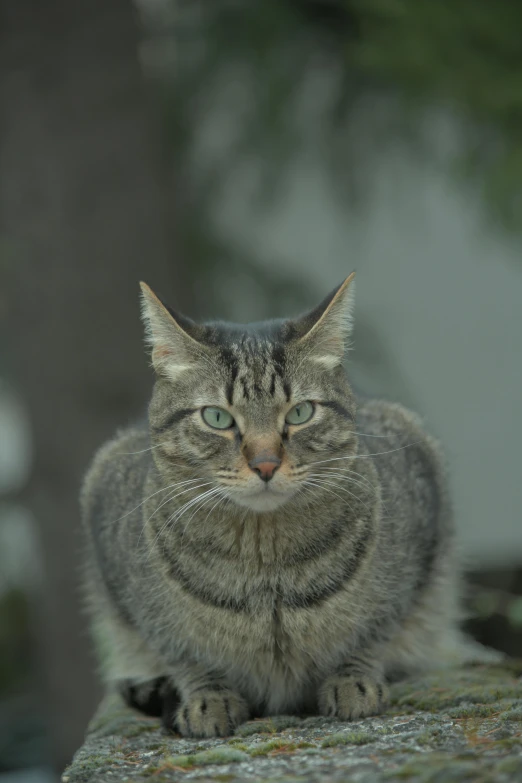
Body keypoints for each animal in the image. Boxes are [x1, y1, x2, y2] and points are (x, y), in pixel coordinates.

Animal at [80, 272, 460, 740]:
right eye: (217, 418)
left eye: (300, 413)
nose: (265, 463)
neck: (265, 569)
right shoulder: (121, 566)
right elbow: (184, 654)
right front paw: (208, 698)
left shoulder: (418, 540)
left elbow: (374, 632)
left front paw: (353, 680)